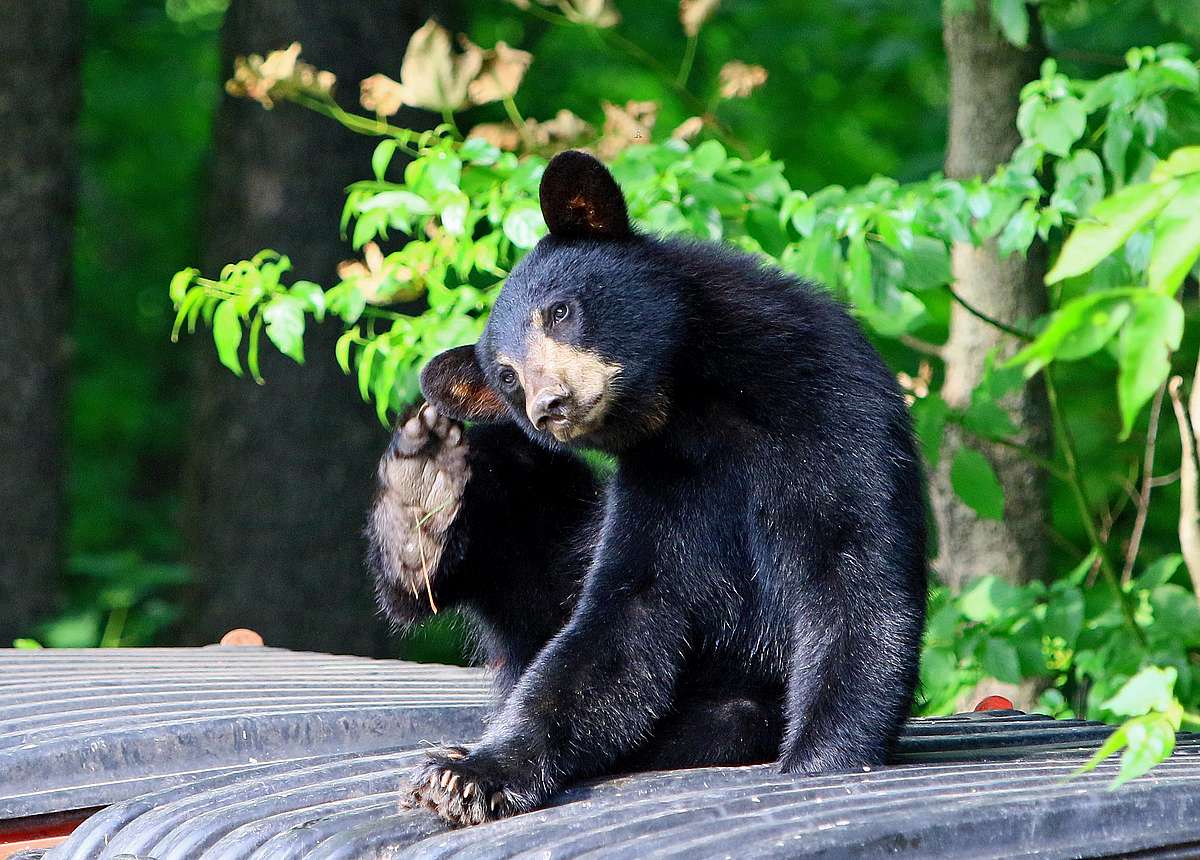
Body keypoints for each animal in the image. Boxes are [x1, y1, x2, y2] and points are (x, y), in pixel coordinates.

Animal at [364, 151, 926, 830]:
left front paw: (822, 762)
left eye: (559, 311)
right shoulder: (661, 482)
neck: (694, 404)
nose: (550, 403)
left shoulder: (829, 405)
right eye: (507, 376)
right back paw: (421, 493)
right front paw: (470, 773)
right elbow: (620, 623)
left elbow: (854, 571)